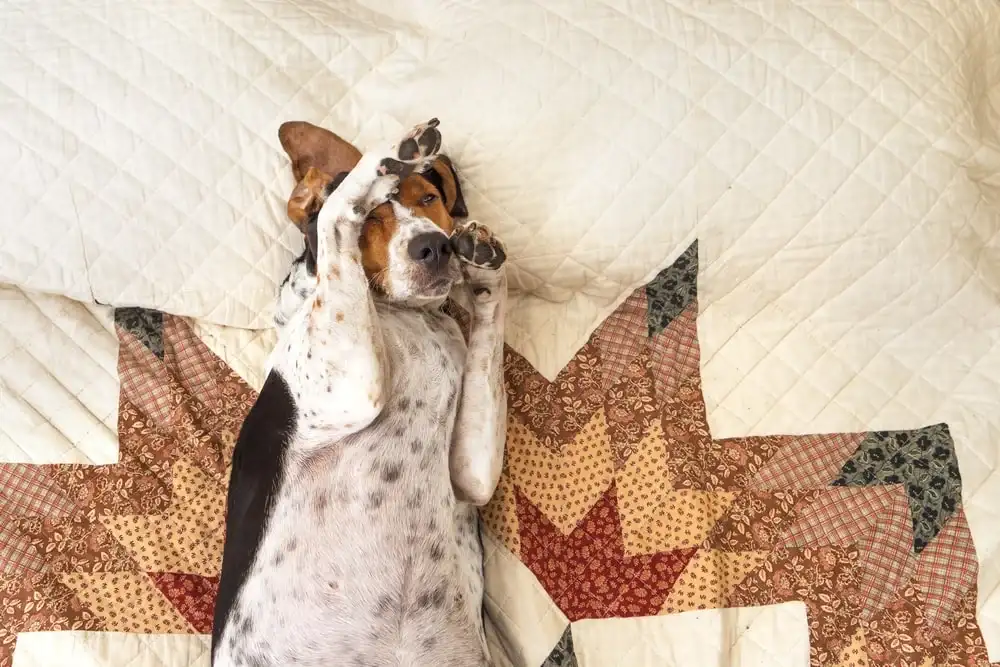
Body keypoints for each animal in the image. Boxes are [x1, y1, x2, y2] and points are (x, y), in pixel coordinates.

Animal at [211, 120, 508, 667]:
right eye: (372, 218)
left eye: (430, 198)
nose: (436, 246)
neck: (403, 315)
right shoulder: (352, 386)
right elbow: (334, 213)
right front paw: (389, 156)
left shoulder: (471, 475)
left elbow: (488, 323)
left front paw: (485, 268)